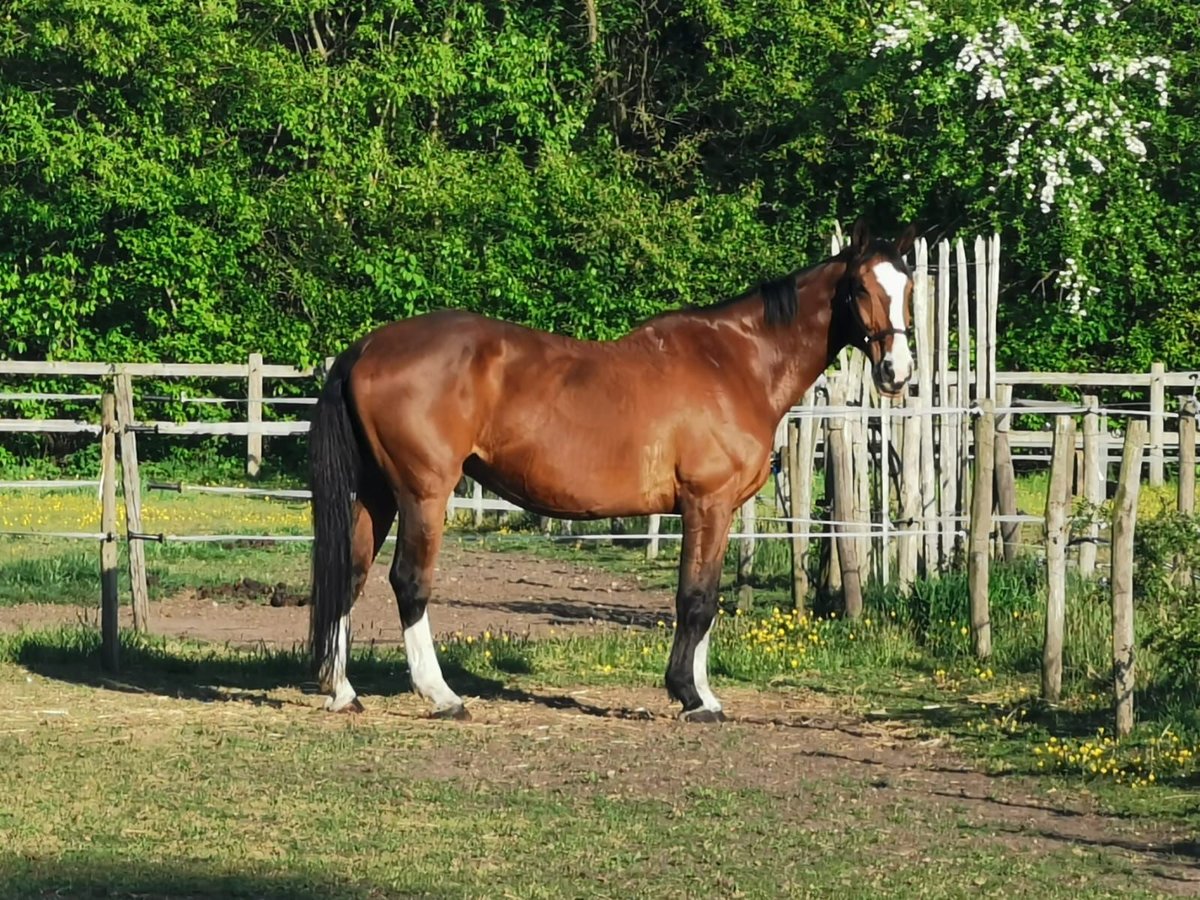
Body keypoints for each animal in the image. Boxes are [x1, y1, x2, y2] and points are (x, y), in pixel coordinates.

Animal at [309, 220, 916, 724]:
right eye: (860, 289)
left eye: (909, 289)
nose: (897, 372)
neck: (735, 363)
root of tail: (366, 347)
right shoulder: (708, 503)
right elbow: (695, 599)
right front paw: (692, 698)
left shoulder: (714, 510)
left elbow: (707, 598)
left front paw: (703, 692)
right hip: (423, 494)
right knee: (408, 582)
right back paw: (441, 696)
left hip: (377, 495)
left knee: (350, 572)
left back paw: (342, 691)